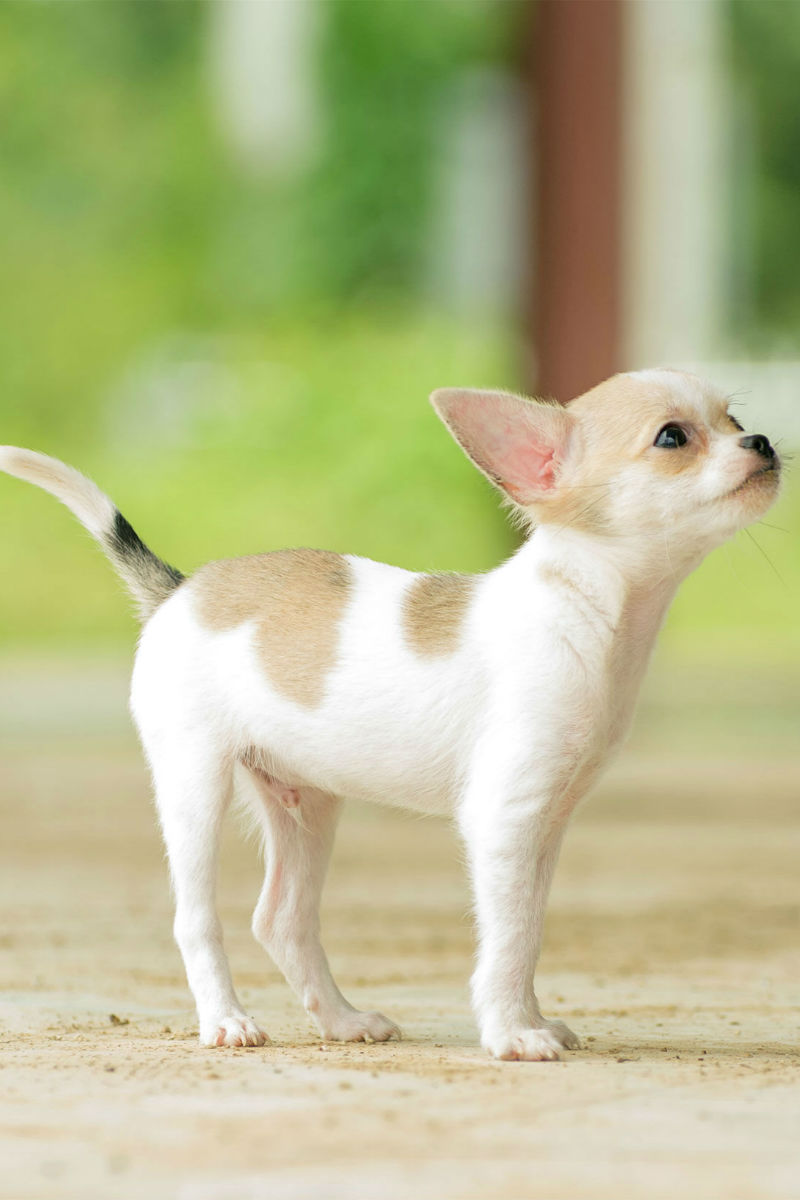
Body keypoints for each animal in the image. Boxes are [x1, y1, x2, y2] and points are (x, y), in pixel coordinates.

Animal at [0, 367, 777, 1060]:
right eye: (673, 437)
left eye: (732, 418)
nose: (765, 440)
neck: (585, 611)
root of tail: (179, 588)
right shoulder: (505, 820)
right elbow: (508, 938)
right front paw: (511, 1034)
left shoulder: (544, 826)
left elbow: (527, 929)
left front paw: (531, 1020)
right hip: (194, 783)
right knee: (196, 919)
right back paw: (225, 1020)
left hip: (304, 803)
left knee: (281, 919)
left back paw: (342, 1021)